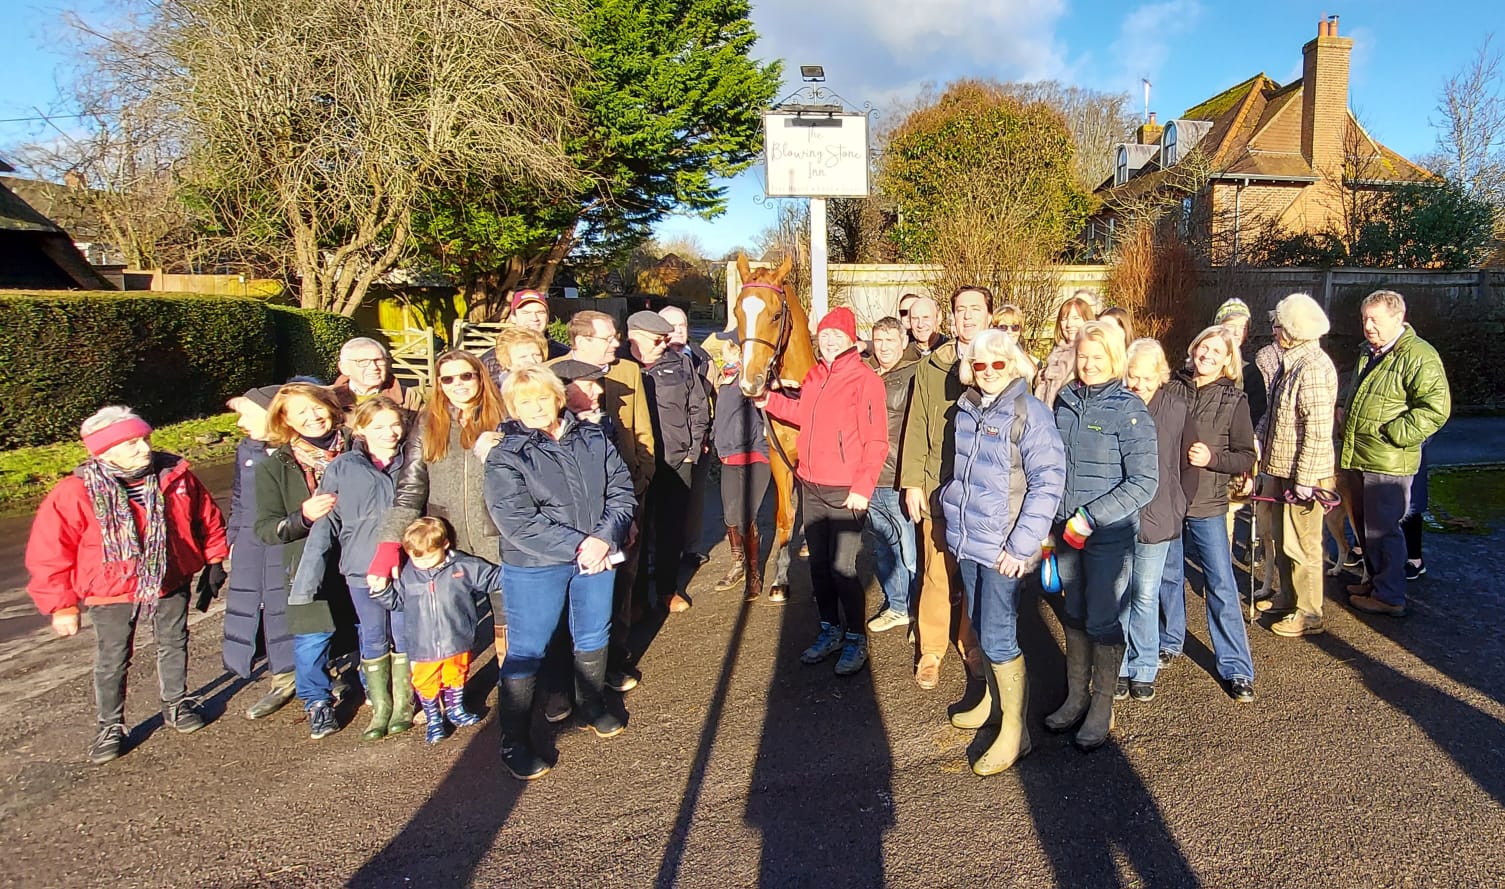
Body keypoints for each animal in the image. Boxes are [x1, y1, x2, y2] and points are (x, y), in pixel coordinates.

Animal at [725, 252, 812, 598]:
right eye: (737, 312)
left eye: (776, 315)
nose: (751, 381)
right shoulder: (779, 460)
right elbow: (784, 517)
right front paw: (780, 579)